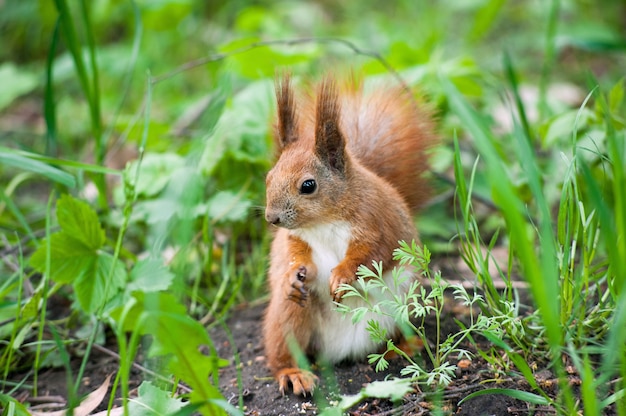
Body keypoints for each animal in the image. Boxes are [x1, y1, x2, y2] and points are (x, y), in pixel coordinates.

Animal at [260, 73, 436, 394]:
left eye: (308, 185)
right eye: (269, 177)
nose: (272, 218)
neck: (324, 221)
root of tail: (340, 352)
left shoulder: (378, 224)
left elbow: (371, 255)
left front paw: (342, 275)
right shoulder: (297, 238)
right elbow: (293, 254)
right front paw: (293, 275)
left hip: (402, 306)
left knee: (390, 339)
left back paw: (403, 348)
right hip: (287, 317)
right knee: (282, 351)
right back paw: (293, 372)